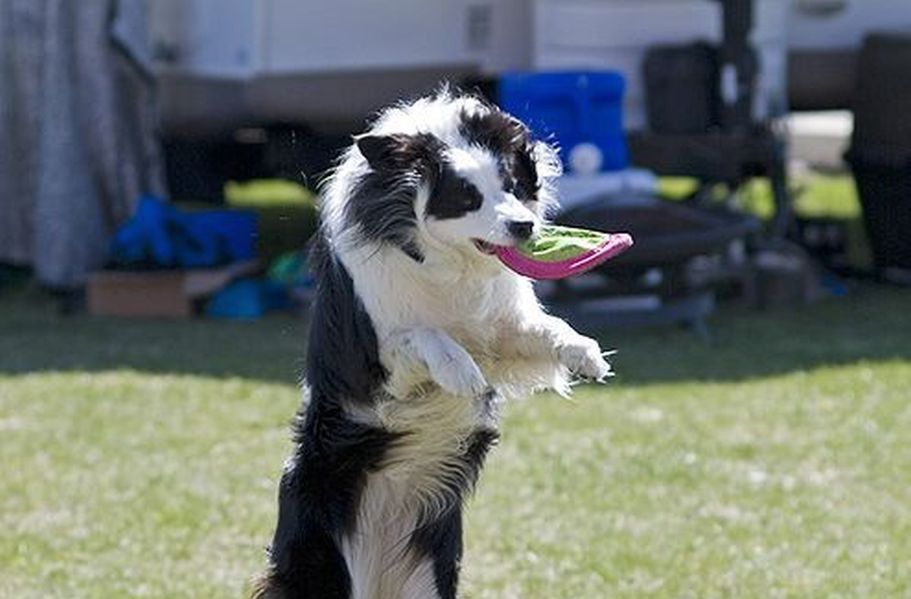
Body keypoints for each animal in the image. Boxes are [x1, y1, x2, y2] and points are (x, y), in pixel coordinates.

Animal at [255, 90, 612, 599]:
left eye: (511, 184)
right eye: (467, 197)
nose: (524, 226)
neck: (447, 261)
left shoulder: (503, 329)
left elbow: (546, 327)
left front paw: (585, 353)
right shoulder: (375, 370)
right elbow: (423, 334)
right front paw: (460, 370)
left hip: (430, 572)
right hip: (323, 565)